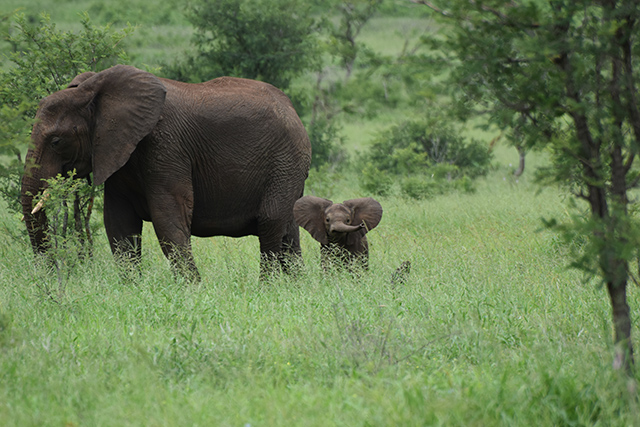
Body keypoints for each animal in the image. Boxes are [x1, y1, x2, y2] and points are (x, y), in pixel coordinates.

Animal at [23, 65, 314, 282]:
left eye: (56, 141)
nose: (51, 274)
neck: (93, 91)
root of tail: (293, 111)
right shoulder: (118, 152)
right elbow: (119, 224)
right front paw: (133, 289)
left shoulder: (166, 146)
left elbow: (168, 219)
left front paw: (194, 290)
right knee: (288, 230)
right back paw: (297, 287)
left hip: (285, 161)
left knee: (270, 222)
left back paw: (267, 288)